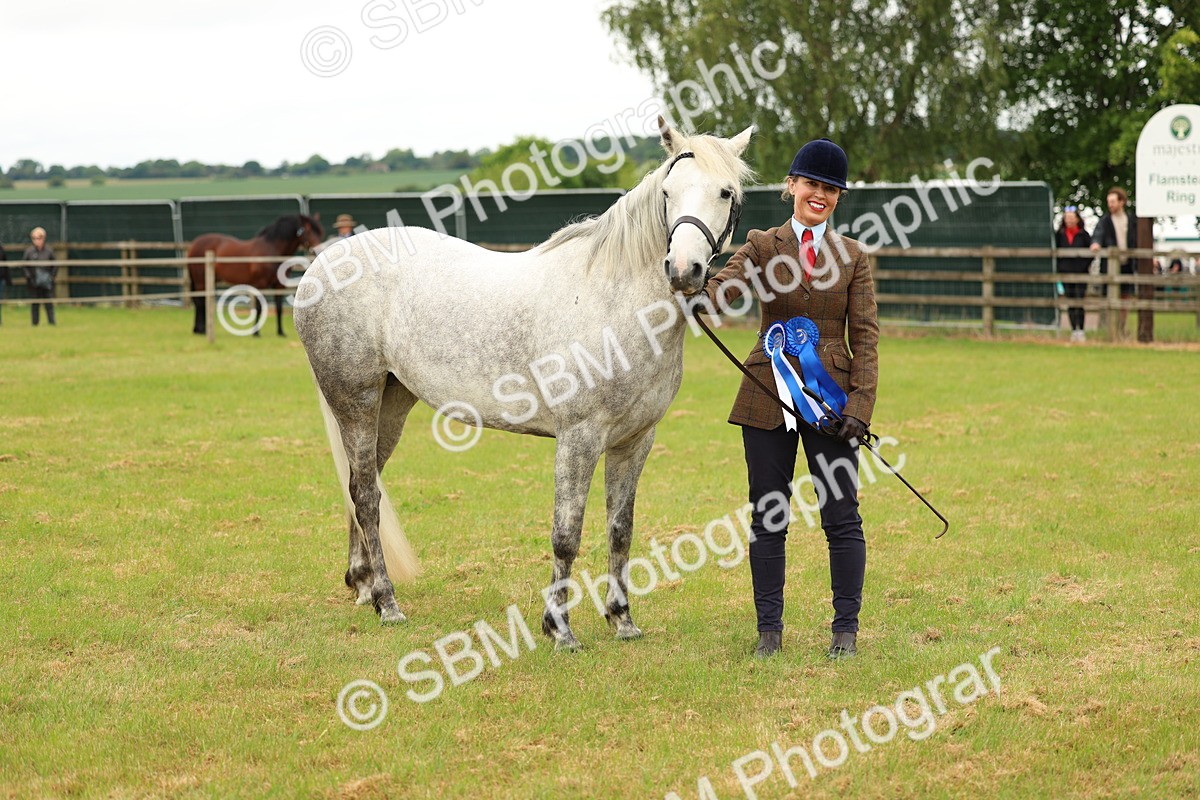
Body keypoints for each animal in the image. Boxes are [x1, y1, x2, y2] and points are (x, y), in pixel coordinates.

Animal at [187, 214, 323, 336]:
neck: (271, 250)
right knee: (200, 303)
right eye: (308, 231)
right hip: (200, 282)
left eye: (320, 232)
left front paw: (280, 332)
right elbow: (259, 308)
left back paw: (198, 329)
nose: (318, 251)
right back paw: (202, 330)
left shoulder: (278, 286)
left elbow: (279, 308)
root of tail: (194, 244)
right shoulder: (260, 285)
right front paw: (256, 332)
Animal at [294, 119, 753, 649]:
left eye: (725, 192)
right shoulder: (579, 437)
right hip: (356, 402)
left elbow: (620, 530)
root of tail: (322, 265)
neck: (614, 301)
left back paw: (364, 587)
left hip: (391, 403)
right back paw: (388, 603)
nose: (682, 271)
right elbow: (566, 534)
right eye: (667, 192)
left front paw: (622, 620)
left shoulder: (635, 440)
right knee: (367, 497)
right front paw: (560, 629)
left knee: (360, 485)